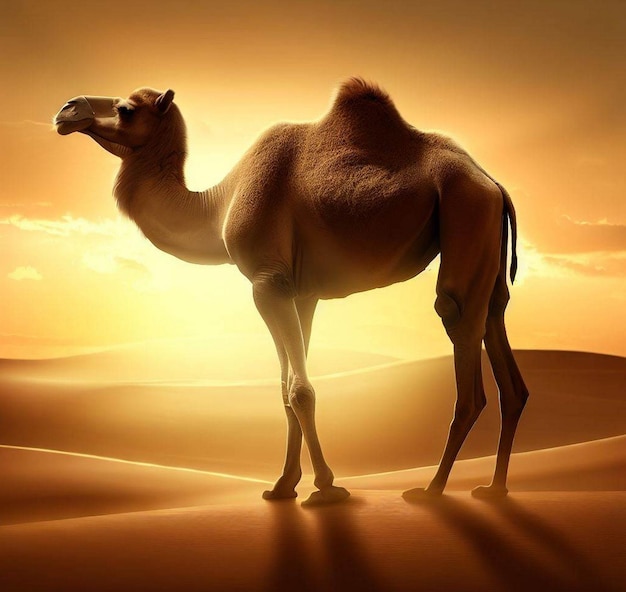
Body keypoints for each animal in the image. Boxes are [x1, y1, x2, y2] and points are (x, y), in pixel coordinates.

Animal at [56, 77, 528, 504]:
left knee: (459, 330)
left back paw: (432, 490)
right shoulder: (300, 292)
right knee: (501, 340)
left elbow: (299, 389)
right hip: (485, 242)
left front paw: (327, 488)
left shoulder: (267, 284)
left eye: (126, 109)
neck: (220, 206)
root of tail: (494, 184)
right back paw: (495, 488)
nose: (67, 109)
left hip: (465, 210)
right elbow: (286, 388)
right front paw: (283, 486)